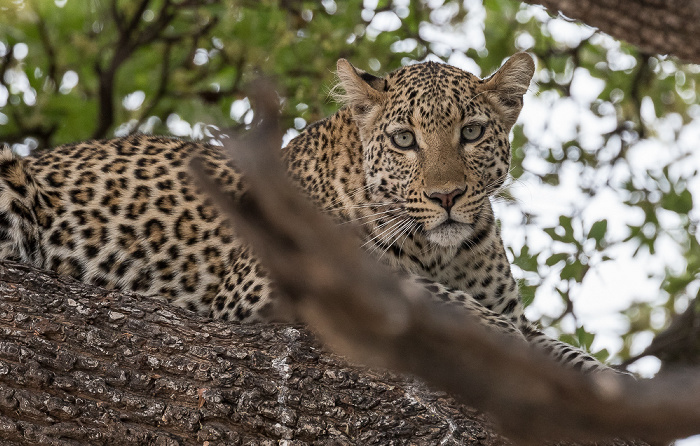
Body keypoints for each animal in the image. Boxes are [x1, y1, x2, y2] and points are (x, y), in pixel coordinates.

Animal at [0, 52, 612, 372]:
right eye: (404, 139)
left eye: (472, 133)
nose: (447, 197)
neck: (441, 250)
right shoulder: (269, 279)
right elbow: (415, 292)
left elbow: (562, 351)